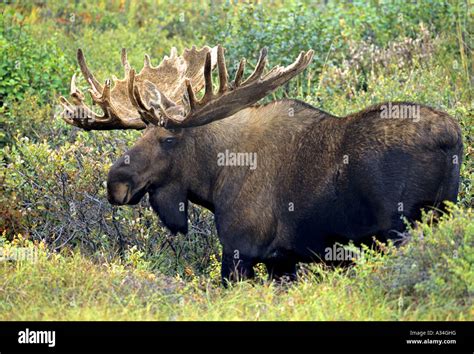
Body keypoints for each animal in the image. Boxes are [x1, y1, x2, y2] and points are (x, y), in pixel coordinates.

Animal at [60, 45, 462, 282]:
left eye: (169, 139)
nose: (116, 182)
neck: (214, 178)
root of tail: (451, 138)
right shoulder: (283, 260)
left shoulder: (241, 248)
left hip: (401, 230)